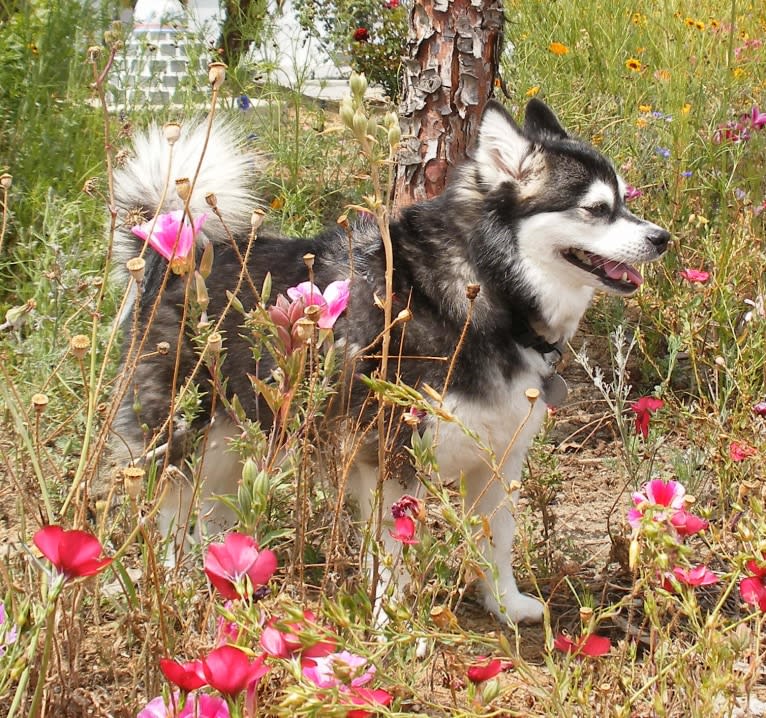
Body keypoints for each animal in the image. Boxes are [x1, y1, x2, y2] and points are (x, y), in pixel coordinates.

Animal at [103, 100, 672, 624]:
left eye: (624, 201)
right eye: (596, 209)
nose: (661, 238)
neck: (483, 292)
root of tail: (175, 254)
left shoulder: (498, 459)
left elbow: (498, 541)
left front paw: (505, 605)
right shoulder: (389, 459)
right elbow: (394, 556)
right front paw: (394, 621)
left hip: (233, 435)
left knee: (212, 505)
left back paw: (224, 569)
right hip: (182, 430)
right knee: (171, 508)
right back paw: (177, 578)